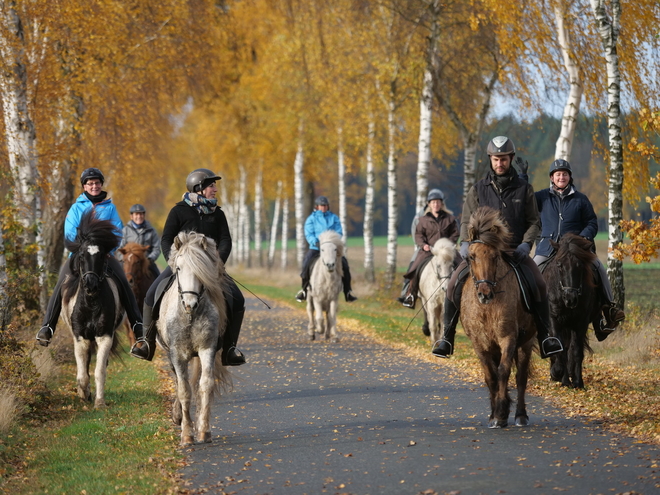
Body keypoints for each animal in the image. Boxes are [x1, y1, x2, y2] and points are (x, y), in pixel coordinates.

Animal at [61, 211, 125, 408]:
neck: (90, 303)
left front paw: (99, 402)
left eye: (102, 256)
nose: (91, 285)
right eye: (81, 256)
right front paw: (84, 395)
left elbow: (99, 371)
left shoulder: (104, 336)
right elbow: (82, 374)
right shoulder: (80, 337)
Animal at [157, 232, 232, 446]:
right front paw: (186, 434)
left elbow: (204, 385)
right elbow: (184, 389)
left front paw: (203, 430)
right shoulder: (177, 353)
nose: (190, 303)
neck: (190, 316)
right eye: (179, 268)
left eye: (202, 269)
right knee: (178, 380)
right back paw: (178, 415)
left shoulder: (207, 349)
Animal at [458, 207, 536, 428]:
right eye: (472, 256)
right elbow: (490, 376)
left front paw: (501, 413)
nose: (485, 293)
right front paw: (494, 414)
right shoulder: (479, 343)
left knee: (521, 377)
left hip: (526, 343)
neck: (487, 308)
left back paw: (520, 415)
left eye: (494, 256)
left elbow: (503, 371)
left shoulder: (508, 338)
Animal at [540, 234, 600, 390]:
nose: (570, 298)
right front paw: (559, 375)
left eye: (579, 265)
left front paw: (578, 382)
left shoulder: (581, 322)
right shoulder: (554, 320)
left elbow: (576, 350)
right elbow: (560, 348)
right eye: (559, 265)